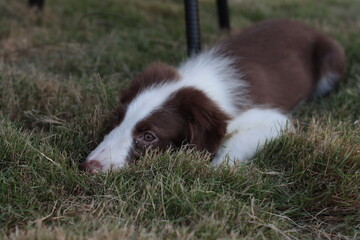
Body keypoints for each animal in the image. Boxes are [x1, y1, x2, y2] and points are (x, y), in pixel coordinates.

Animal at [80, 18, 344, 172]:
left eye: (148, 136)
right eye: (117, 119)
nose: (88, 166)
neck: (199, 81)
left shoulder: (274, 120)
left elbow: (235, 141)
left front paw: (216, 169)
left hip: (332, 60)